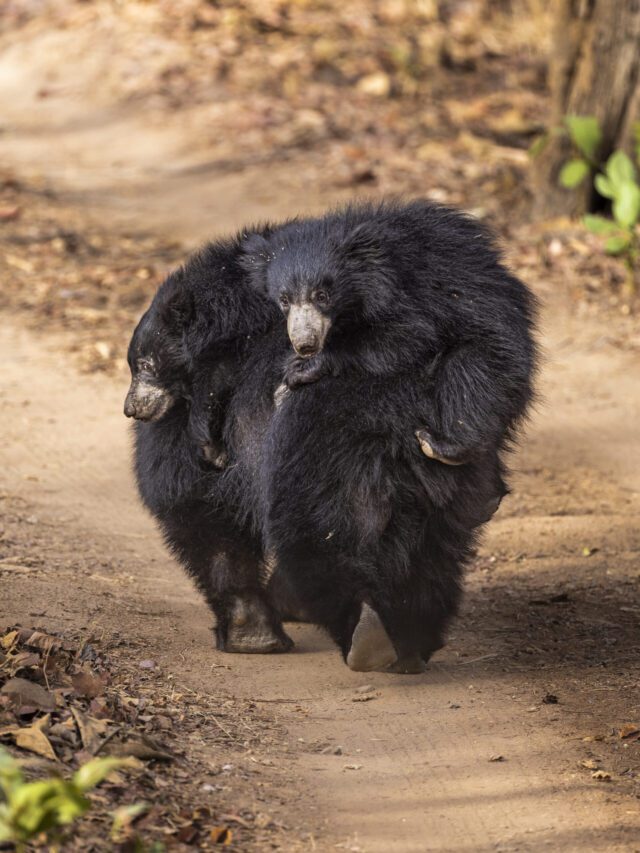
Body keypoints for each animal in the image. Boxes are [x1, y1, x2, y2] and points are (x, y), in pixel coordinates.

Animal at [242, 201, 536, 672]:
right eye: (284, 299)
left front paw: (302, 370)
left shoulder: (415, 294)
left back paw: (447, 445)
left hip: (491, 351)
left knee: (470, 380)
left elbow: (405, 337)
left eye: (322, 295)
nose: (304, 344)